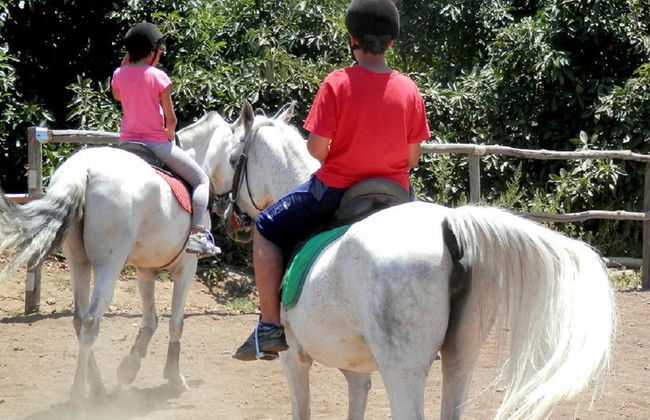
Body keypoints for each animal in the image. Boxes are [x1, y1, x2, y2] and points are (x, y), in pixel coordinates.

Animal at [0, 109, 244, 404]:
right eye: (234, 159)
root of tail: (83, 169)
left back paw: (98, 387)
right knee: (91, 321)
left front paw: (129, 368)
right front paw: (175, 378)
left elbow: (150, 320)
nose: (227, 205)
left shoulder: (146, 270)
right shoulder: (187, 267)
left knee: (79, 320)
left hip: (78, 262)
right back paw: (79, 395)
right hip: (109, 265)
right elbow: (176, 323)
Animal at [214, 101, 616, 420]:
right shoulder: (356, 369)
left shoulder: (295, 360)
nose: (226, 215)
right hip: (460, 360)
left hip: (403, 369)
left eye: (233, 159)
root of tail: (447, 225)